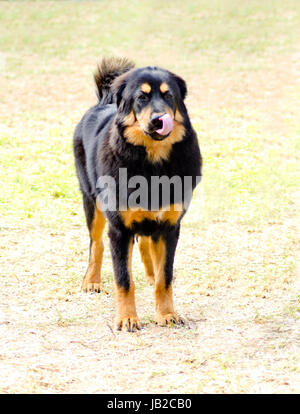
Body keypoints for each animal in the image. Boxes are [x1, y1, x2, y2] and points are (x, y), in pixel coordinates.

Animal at [74, 57, 203, 334]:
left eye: (168, 96)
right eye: (141, 98)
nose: (158, 119)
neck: (152, 165)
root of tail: (102, 102)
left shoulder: (169, 227)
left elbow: (165, 278)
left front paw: (167, 314)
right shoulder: (119, 229)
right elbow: (124, 279)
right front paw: (127, 319)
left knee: (145, 243)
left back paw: (150, 272)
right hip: (92, 201)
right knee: (96, 243)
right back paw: (92, 281)